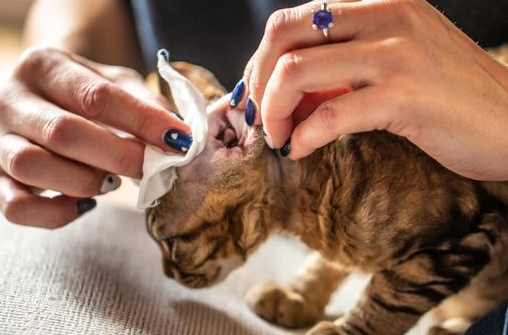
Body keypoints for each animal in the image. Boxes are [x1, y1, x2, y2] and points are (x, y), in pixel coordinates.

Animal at [146, 55, 508, 335]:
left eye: (170, 243)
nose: (166, 274)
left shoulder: (457, 242)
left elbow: (388, 300)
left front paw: (348, 330)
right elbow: (326, 264)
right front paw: (298, 296)